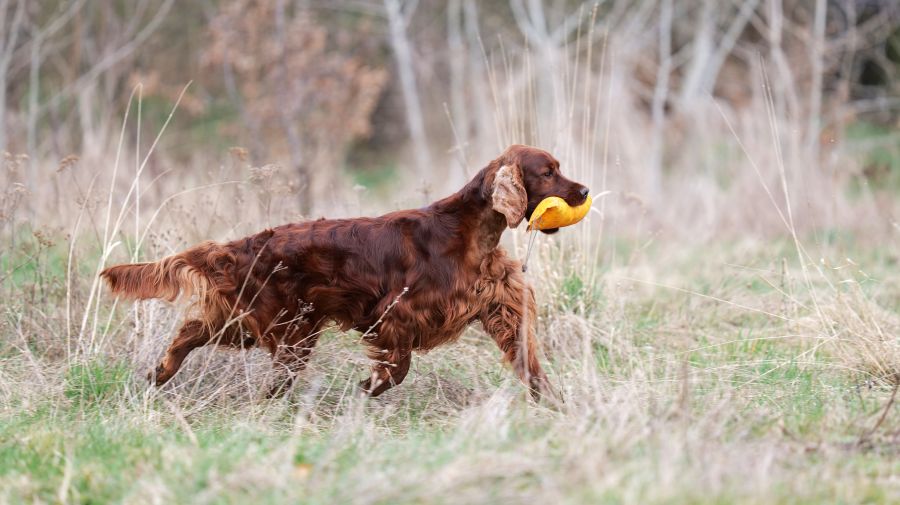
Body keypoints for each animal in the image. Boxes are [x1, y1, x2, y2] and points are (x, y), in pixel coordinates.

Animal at [102, 143, 592, 398]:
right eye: (548, 172)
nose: (585, 190)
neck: (473, 232)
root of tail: (242, 246)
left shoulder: (500, 307)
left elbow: (528, 360)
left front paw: (553, 403)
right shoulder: (394, 314)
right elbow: (399, 366)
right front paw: (371, 385)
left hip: (254, 323)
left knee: (191, 330)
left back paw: (159, 373)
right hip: (285, 329)